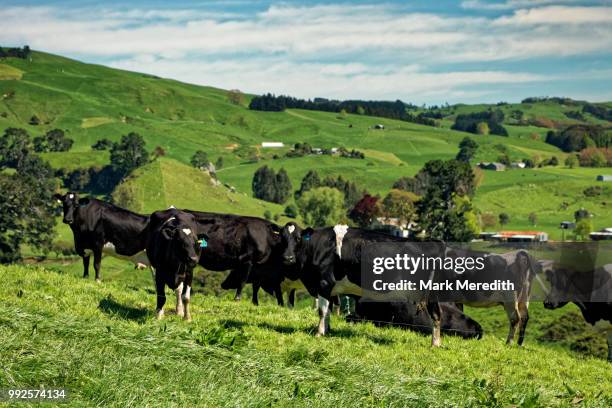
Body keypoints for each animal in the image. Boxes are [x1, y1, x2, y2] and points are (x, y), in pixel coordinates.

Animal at [280, 222, 448, 346]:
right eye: (282, 238)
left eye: (298, 238)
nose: (288, 258)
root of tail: (433, 242)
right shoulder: (330, 288)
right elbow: (328, 311)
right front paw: (327, 331)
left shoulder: (324, 282)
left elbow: (322, 310)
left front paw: (319, 333)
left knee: (436, 314)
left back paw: (435, 344)